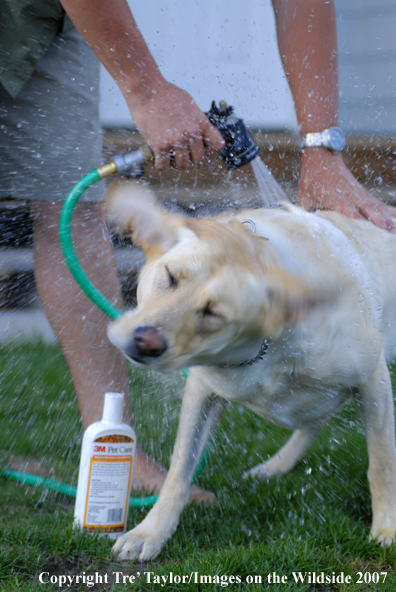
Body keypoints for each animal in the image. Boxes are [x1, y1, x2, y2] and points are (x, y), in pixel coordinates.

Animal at [104, 187, 396, 560]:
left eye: (212, 312)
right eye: (170, 276)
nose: (145, 341)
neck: (269, 346)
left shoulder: (372, 380)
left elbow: (382, 464)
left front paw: (386, 528)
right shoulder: (202, 390)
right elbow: (179, 470)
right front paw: (149, 533)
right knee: (314, 420)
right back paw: (276, 466)